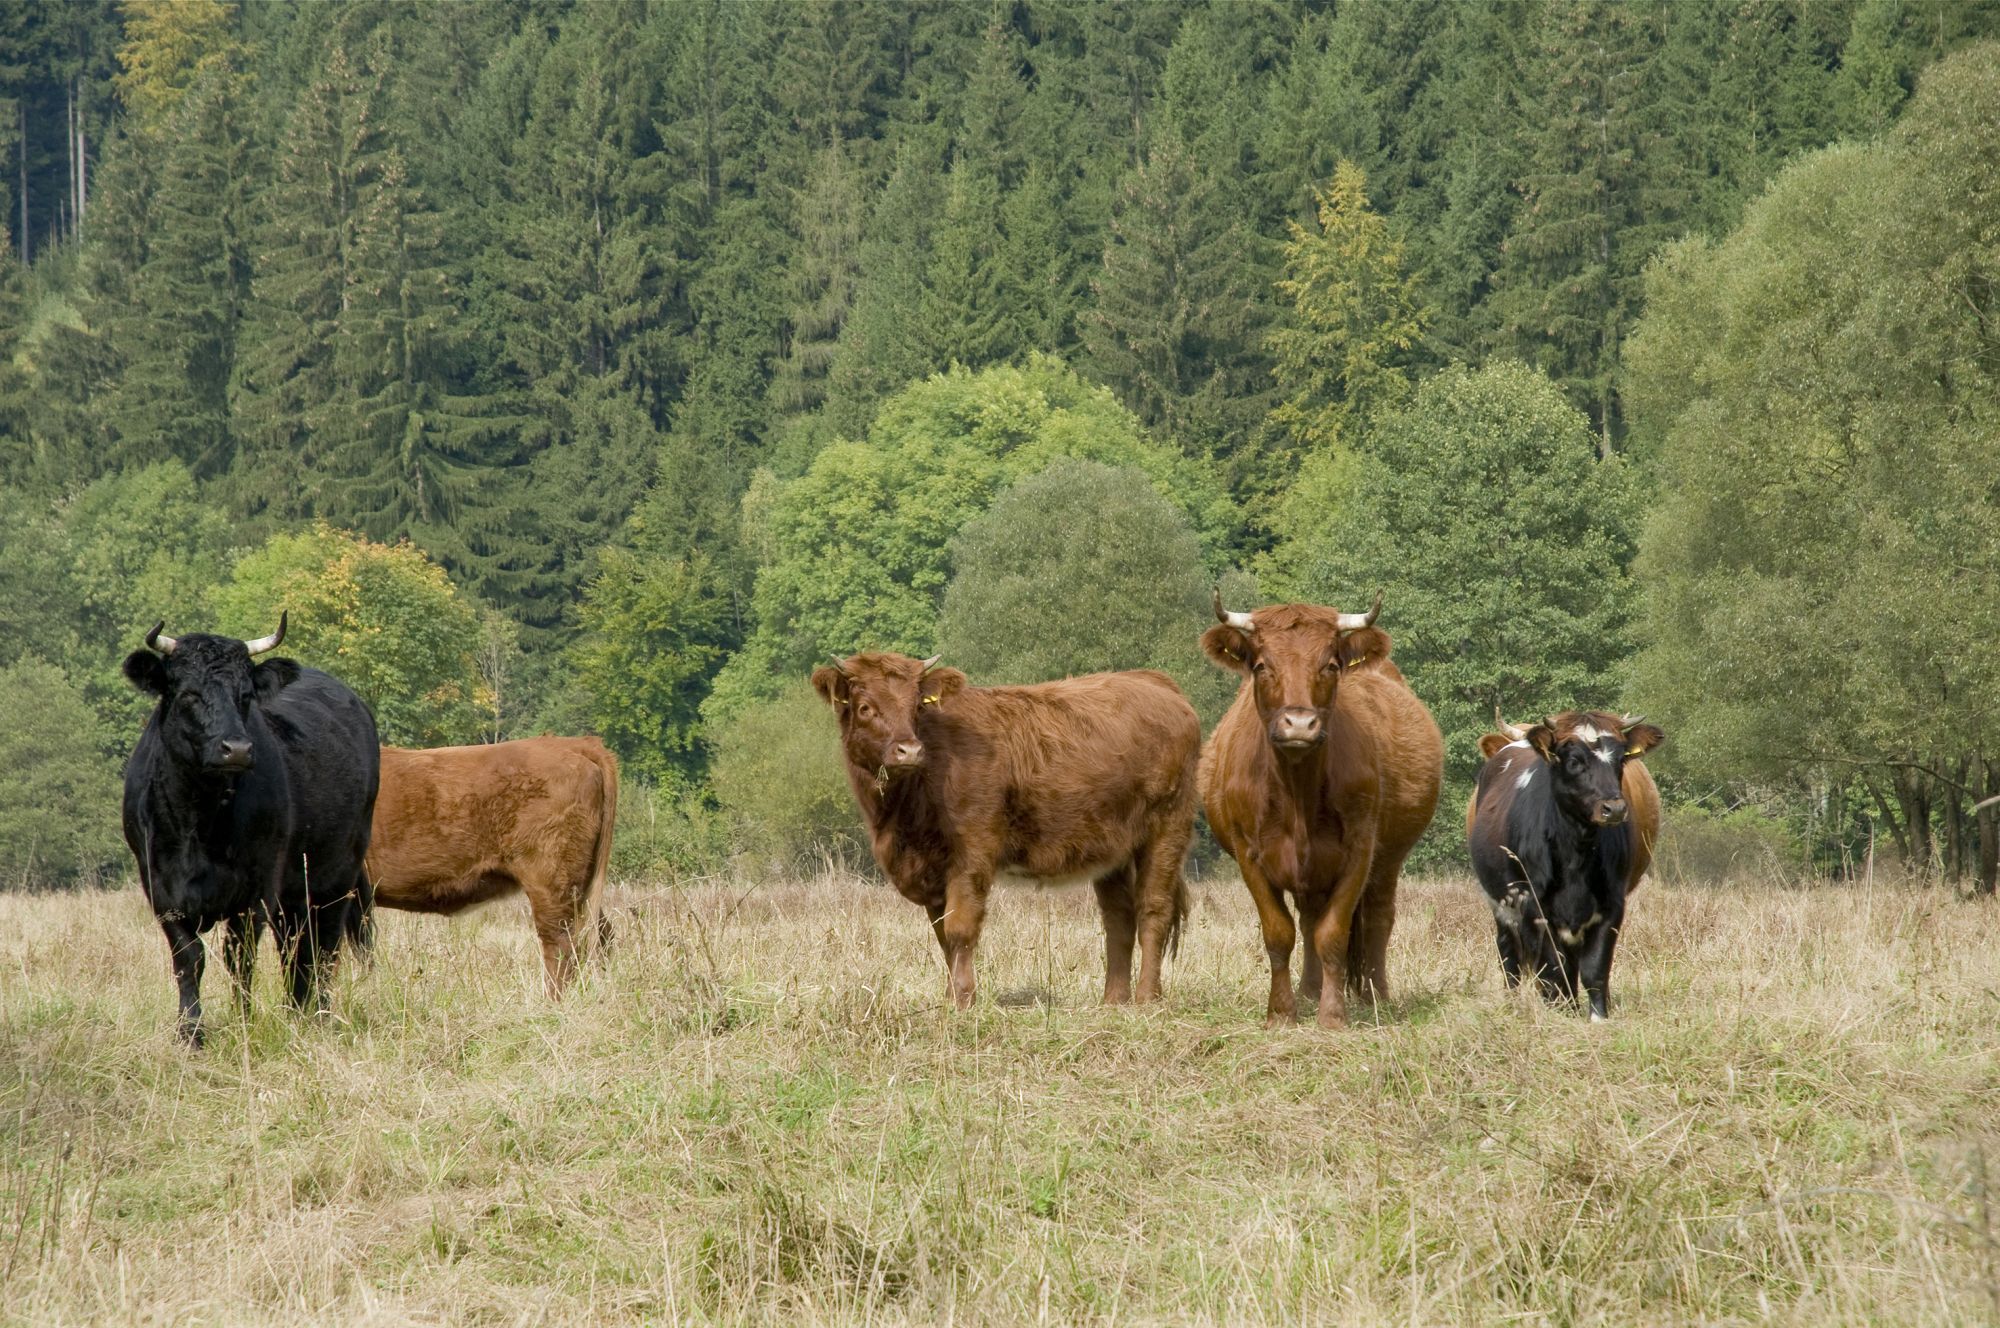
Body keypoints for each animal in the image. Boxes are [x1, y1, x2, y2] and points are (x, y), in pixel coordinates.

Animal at [120, 616, 378, 1048]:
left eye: (245, 695)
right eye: (189, 693)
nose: (237, 748)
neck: (200, 819)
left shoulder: (256, 889)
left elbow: (239, 958)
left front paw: (243, 1022)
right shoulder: (159, 887)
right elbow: (188, 957)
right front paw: (190, 1032)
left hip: (336, 875)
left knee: (322, 945)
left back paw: (317, 1014)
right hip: (295, 891)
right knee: (296, 946)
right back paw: (297, 1009)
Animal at [808, 652, 1192, 1008]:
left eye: (916, 706)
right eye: (865, 707)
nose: (910, 750)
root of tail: (1154, 681)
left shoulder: (972, 855)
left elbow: (960, 929)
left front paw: (964, 1000)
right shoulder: (931, 870)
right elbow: (943, 935)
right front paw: (950, 998)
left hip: (1167, 828)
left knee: (1153, 910)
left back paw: (1146, 997)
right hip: (1111, 849)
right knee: (1119, 918)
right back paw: (1113, 1000)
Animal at [1192, 596, 1448, 1032]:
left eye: (1329, 665)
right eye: (1262, 666)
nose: (1299, 724)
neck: (1298, 791)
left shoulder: (1360, 850)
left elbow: (1333, 933)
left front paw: (1332, 1016)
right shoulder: (1249, 855)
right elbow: (1280, 932)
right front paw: (1282, 1013)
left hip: (1389, 857)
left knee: (1378, 917)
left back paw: (1375, 996)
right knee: (1309, 917)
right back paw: (1309, 991)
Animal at [1464, 712, 1664, 1020]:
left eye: (1620, 760)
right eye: (1573, 760)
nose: (1614, 809)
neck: (1575, 854)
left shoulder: (1611, 904)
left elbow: (1595, 968)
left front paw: (1597, 1017)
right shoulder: (1534, 907)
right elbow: (1553, 970)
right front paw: (1561, 1013)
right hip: (1501, 904)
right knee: (1510, 953)